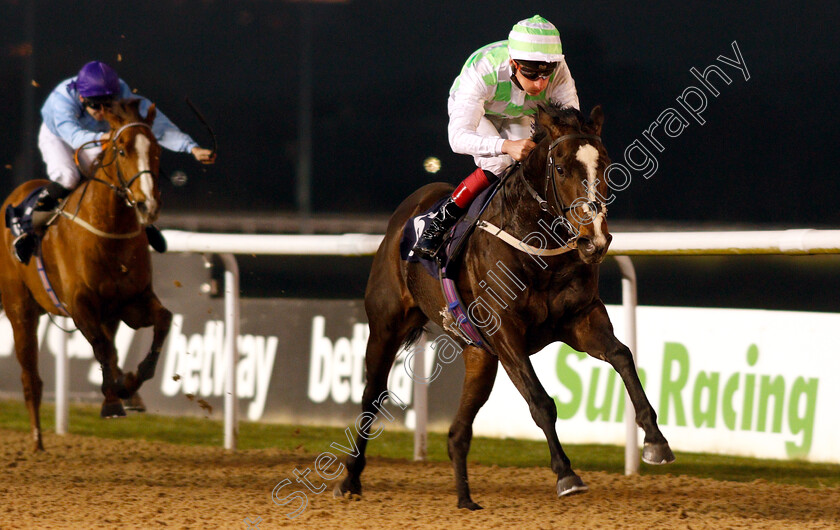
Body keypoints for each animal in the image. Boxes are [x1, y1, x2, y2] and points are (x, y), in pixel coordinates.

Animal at [0, 97, 172, 448]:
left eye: (156, 149)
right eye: (121, 150)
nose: (148, 205)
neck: (109, 232)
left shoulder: (132, 302)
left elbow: (163, 320)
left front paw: (130, 383)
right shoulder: (80, 304)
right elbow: (101, 348)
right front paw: (113, 401)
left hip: (109, 314)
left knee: (113, 347)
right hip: (19, 309)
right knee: (31, 377)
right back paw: (37, 439)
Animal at [338, 104, 672, 508]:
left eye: (604, 165)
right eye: (561, 168)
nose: (594, 240)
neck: (537, 247)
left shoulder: (580, 319)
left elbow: (623, 356)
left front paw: (655, 441)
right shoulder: (505, 330)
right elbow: (541, 401)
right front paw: (566, 474)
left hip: (479, 354)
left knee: (457, 432)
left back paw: (466, 500)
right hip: (386, 326)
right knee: (371, 397)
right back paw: (350, 478)